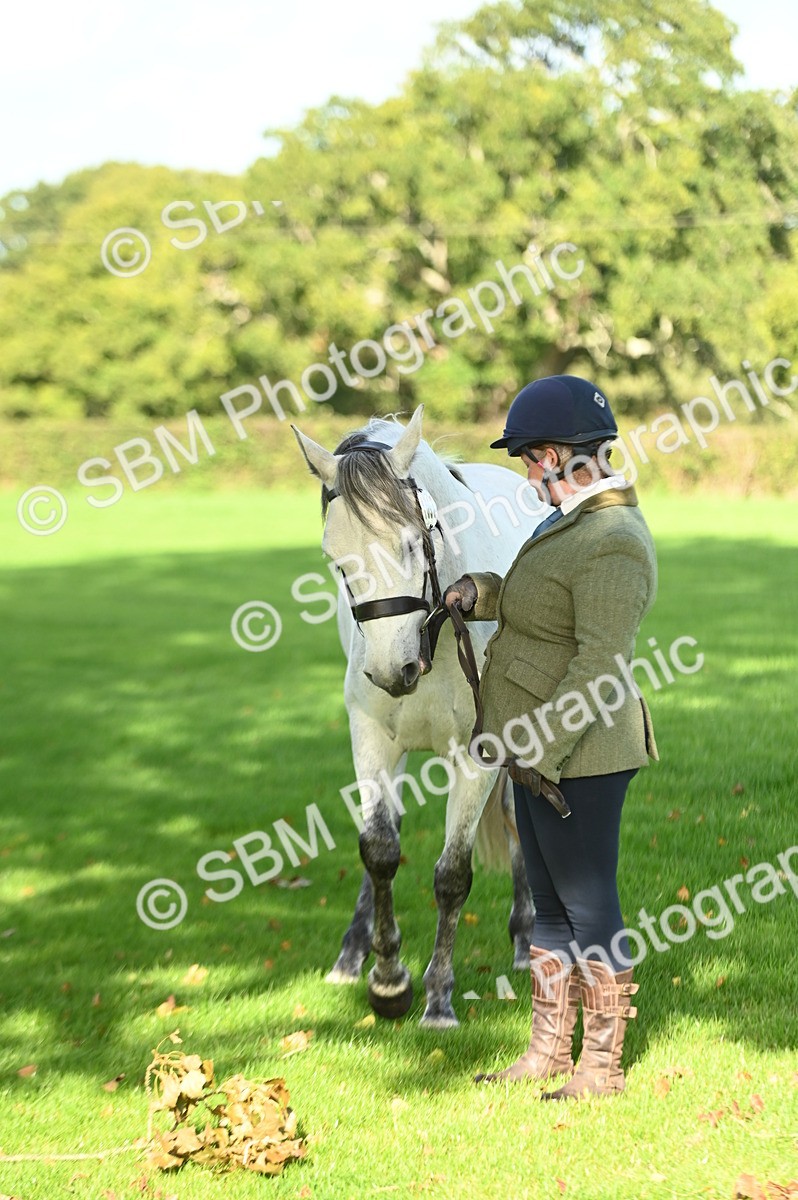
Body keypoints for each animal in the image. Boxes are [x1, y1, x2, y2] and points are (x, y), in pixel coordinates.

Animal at [292, 406, 552, 1028]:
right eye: (335, 561)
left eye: (414, 543)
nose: (394, 668)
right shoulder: (371, 736)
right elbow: (380, 849)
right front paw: (388, 979)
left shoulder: (483, 752)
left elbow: (452, 875)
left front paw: (437, 996)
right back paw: (352, 954)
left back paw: (525, 939)